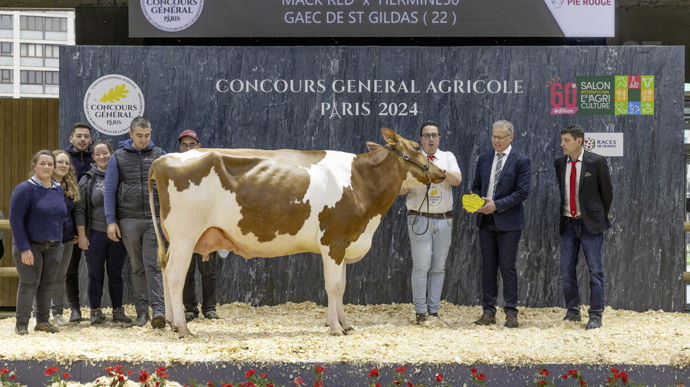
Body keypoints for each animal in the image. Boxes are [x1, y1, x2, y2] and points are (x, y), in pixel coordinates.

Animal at [147, 129, 444, 338]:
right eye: (417, 146)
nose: (441, 171)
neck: (360, 181)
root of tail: (163, 159)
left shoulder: (343, 244)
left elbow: (342, 286)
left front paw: (346, 325)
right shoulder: (333, 241)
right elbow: (333, 286)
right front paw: (335, 327)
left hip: (177, 239)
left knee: (165, 270)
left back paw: (172, 323)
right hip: (185, 235)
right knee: (174, 276)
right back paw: (183, 328)